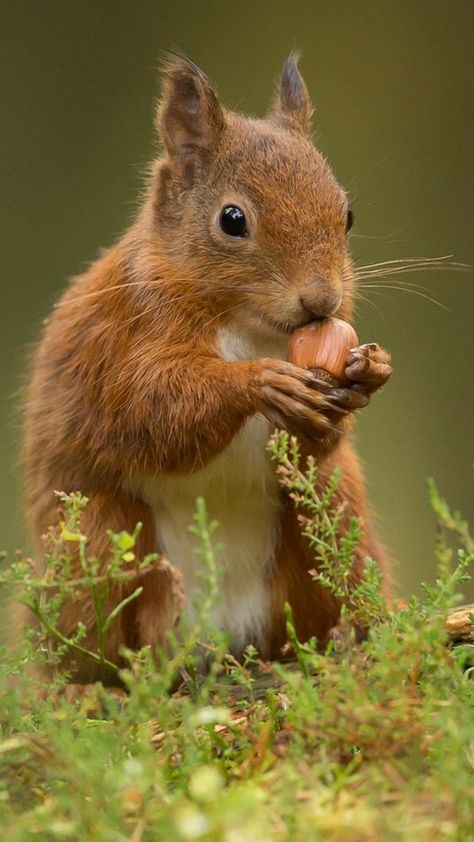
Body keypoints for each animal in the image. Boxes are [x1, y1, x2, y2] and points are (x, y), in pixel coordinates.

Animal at [22, 52, 392, 684]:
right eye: (232, 219)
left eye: (347, 214)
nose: (322, 301)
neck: (250, 326)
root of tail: (223, 638)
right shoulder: (119, 342)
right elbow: (151, 411)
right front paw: (260, 383)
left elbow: (313, 444)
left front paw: (366, 374)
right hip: (96, 537)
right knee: (91, 645)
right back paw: (96, 683)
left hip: (336, 515)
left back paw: (343, 638)